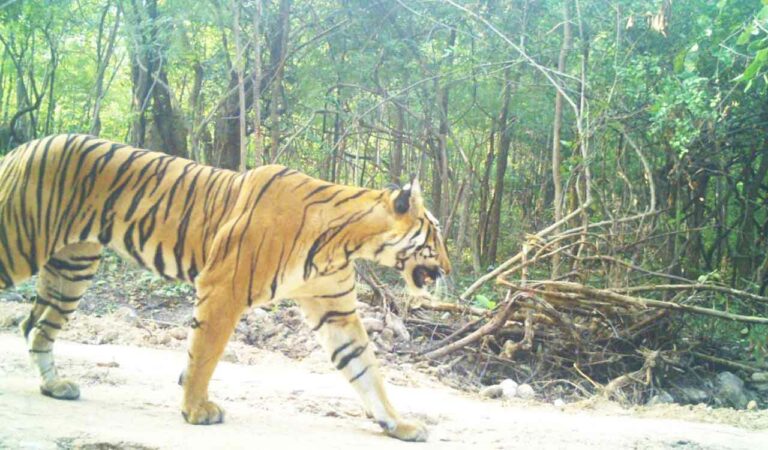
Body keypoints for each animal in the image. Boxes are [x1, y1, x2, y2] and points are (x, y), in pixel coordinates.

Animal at [0, 134, 450, 441]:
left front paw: (398, 423)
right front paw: (195, 409)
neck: (346, 242)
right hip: (20, 244)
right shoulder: (222, 288)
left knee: (35, 327)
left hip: (73, 266)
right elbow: (205, 354)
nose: (448, 268)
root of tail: (21, 148)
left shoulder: (335, 310)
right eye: (436, 234)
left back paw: (54, 386)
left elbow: (364, 367)